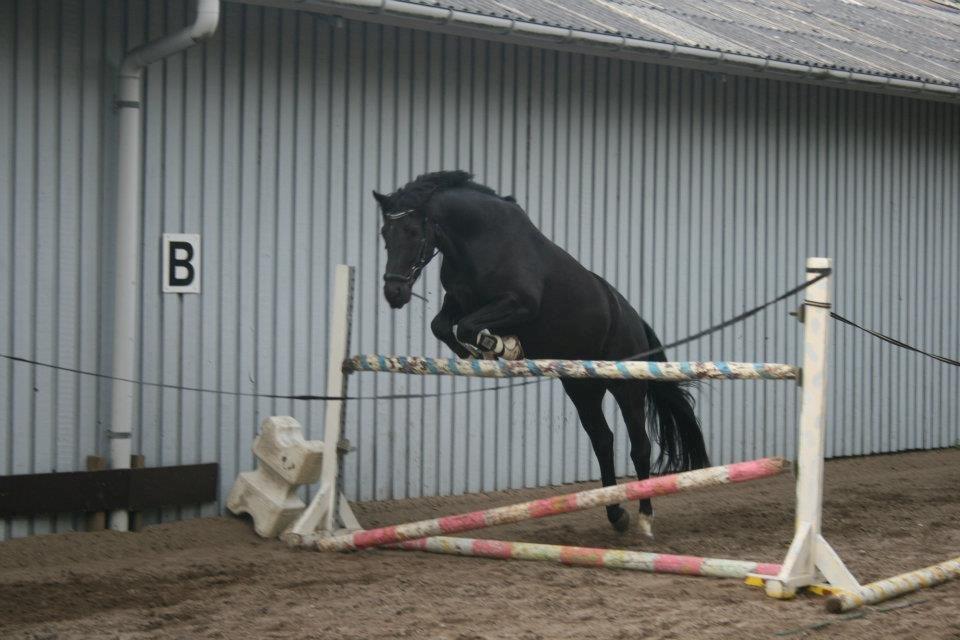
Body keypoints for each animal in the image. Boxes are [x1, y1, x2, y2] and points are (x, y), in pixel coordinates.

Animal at [372, 170, 708, 536]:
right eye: (385, 233)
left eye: (412, 231)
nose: (394, 292)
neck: (479, 241)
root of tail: (635, 321)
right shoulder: (458, 303)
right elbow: (443, 326)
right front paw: (477, 352)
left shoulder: (519, 304)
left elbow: (467, 327)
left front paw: (504, 346)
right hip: (582, 388)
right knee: (602, 440)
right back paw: (615, 513)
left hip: (627, 386)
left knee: (640, 446)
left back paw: (644, 517)